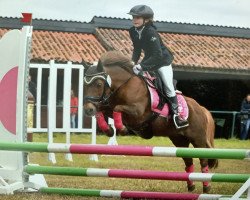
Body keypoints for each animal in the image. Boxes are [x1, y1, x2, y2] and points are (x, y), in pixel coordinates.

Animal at [83, 50, 218, 193]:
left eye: (98, 84)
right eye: (84, 85)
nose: (88, 110)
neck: (123, 84)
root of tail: (202, 109)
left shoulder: (137, 112)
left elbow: (117, 108)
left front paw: (122, 129)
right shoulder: (108, 106)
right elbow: (102, 110)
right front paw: (108, 130)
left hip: (198, 139)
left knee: (203, 160)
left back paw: (206, 187)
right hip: (179, 140)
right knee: (188, 161)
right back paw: (191, 187)